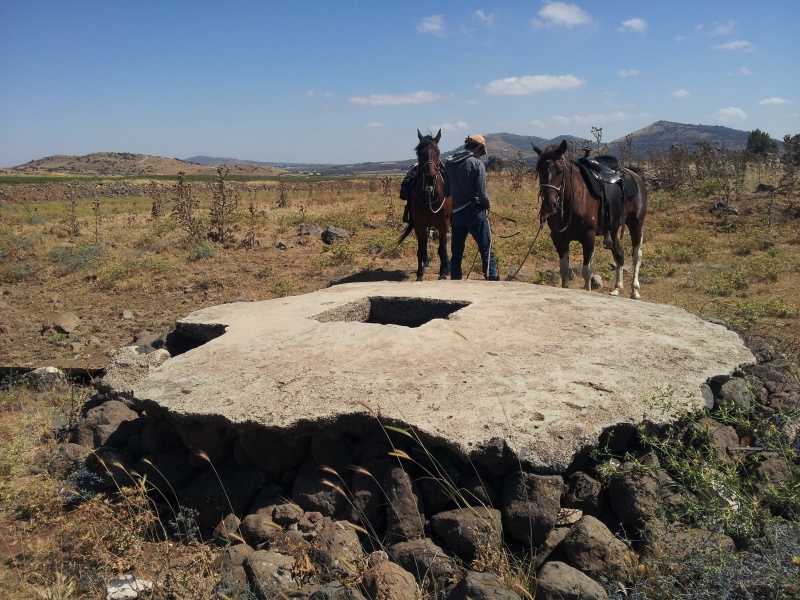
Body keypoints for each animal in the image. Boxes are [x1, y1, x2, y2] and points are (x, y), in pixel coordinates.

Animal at [398, 130, 454, 280]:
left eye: (438, 152)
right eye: (419, 153)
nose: (430, 178)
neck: (430, 196)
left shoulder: (443, 224)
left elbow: (442, 249)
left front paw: (442, 274)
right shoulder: (419, 225)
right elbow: (421, 249)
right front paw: (419, 274)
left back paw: (447, 267)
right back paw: (427, 263)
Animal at [532, 141, 648, 300]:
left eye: (560, 170)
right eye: (539, 169)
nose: (550, 205)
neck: (573, 199)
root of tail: (635, 174)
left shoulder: (588, 238)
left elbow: (587, 271)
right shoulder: (559, 239)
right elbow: (564, 270)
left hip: (636, 224)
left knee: (637, 255)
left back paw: (635, 290)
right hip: (614, 229)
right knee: (619, 254)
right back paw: (617, 288)